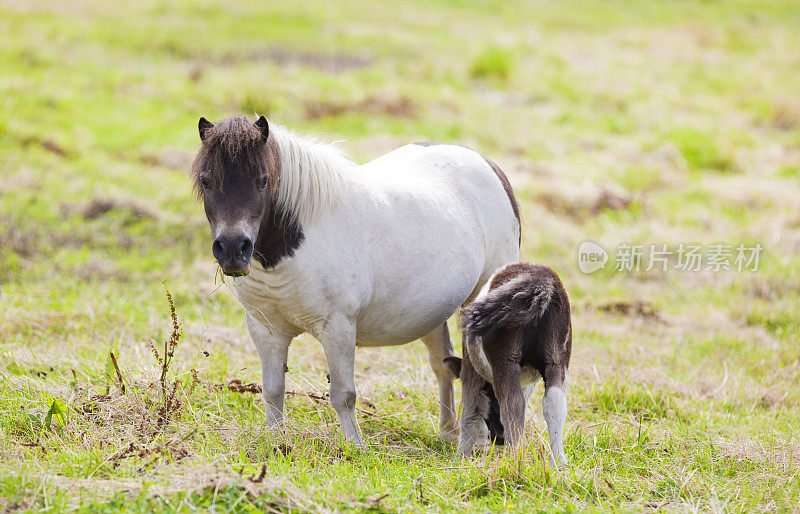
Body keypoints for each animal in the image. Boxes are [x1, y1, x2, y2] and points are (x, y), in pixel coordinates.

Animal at [191, 116, 520, 444]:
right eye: (206, 181)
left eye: (263, 180)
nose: (233, 249)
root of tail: (486, 163)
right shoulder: (266, 329)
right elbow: (272, 391)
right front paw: (275, 442)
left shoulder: (338, 327)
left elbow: (343, 394)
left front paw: (354, 445)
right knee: (443, 365)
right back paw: (449, 431)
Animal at [446, 262, 572, 466]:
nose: (499, 439)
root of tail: (541, 280)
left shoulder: (470, 368)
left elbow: (469, 412)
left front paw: (461, 457)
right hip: (557, 356)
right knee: (554, 401)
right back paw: (558, 463)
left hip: (504, 356)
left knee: (512, 402)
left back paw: (515, 458)